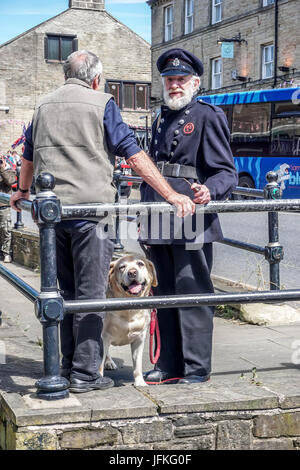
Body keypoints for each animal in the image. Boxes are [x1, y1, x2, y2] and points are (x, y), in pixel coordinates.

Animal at [99, 255, 158, 388]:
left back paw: (109, 362)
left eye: (140, 264)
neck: (129, 307)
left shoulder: (139, 339)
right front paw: (98, 378)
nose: (132, 272)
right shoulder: (103, 336)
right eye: (122, 267)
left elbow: (138, 365)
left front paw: (140, 382)